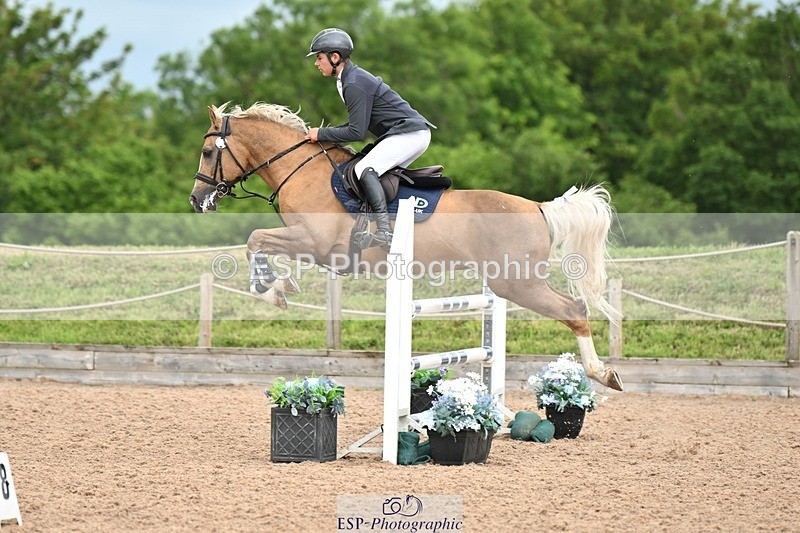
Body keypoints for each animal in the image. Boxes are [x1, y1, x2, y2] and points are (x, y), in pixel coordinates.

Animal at [189, 102, 623, 391]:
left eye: (209, 152)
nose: (197, 201)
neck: (304, 172)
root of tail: (539, 208)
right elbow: (258, 242)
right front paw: (277, 286)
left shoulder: (315, 243)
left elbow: (255, 240)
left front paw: (271, 289)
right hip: (508, 282)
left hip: (517, 283)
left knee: (574, 310)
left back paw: (603, 373)